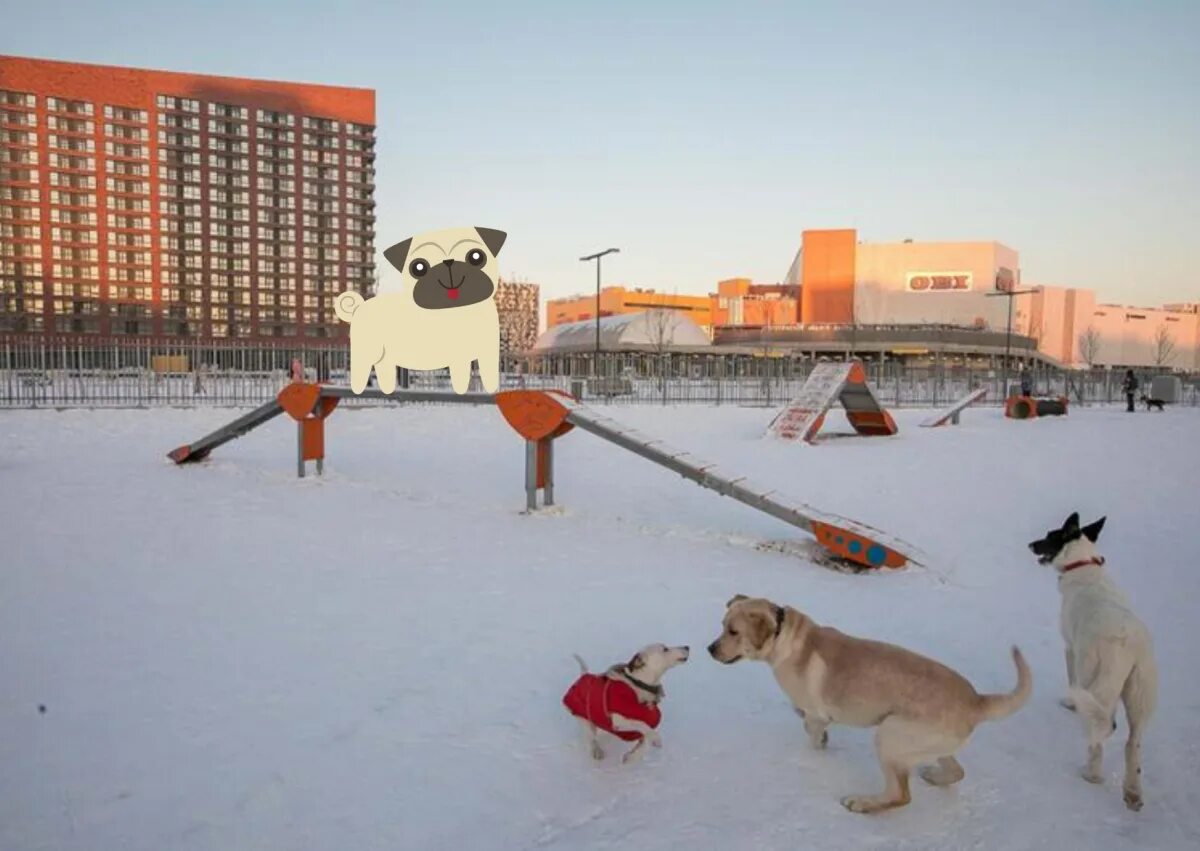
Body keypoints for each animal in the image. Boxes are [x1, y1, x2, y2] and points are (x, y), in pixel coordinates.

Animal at [333, 226, 506, 396]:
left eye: (476, 257)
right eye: (419, 268)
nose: (448, 262)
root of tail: (359, 306)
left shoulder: (486, 351)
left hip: (384, 356)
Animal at [700, 595, 1032, 811]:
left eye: (733, 631)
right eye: (721, 624)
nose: (709, 649)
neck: (784, 638)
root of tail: (977, 700)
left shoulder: (816, 714)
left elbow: (811, 729)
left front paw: (818, 750)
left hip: (890, 735)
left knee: (901, 795)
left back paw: (863, 802)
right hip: (927, 743)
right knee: (956, 770)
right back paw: (936, 777)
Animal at [1027, 511, 1156, 811]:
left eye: (1048, 536)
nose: (1030, 544)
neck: (1083, 563)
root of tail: (1130, 646)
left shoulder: (1071, 648)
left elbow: (1070, 677)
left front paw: (1069, 703)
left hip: (1100, 681)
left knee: (1104, 728)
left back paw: (1092, 774)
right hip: (1141, 695)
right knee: (1133, 743)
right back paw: (1133, 793)